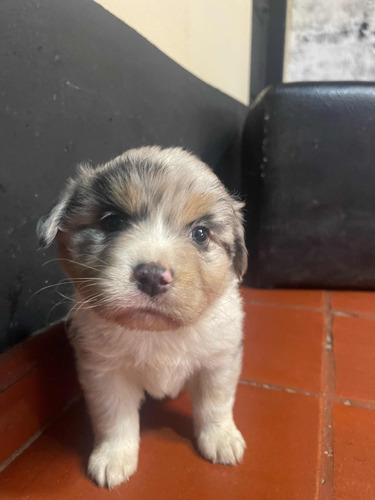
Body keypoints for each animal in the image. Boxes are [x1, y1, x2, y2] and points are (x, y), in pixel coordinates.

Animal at [36, 146, 248, 488]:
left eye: (201, 233)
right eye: (113, 222)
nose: (152, 276)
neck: (155, 332)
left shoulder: (219, 360)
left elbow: (215, 403)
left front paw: (220, 438)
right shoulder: (104, 371)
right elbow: (115, 417)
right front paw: (113, 456)